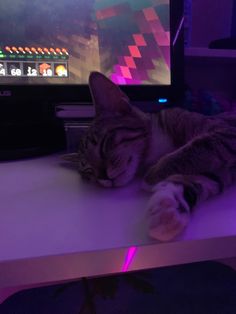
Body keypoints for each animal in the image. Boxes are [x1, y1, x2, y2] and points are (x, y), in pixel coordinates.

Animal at [65, 72, 236, 243]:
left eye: (104, 145)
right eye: (88, 170)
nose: (102, 177)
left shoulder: (227, 133)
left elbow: (202, 145)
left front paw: (153, 175)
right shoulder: (219, 171)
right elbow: (195, 181)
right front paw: (169, 206)